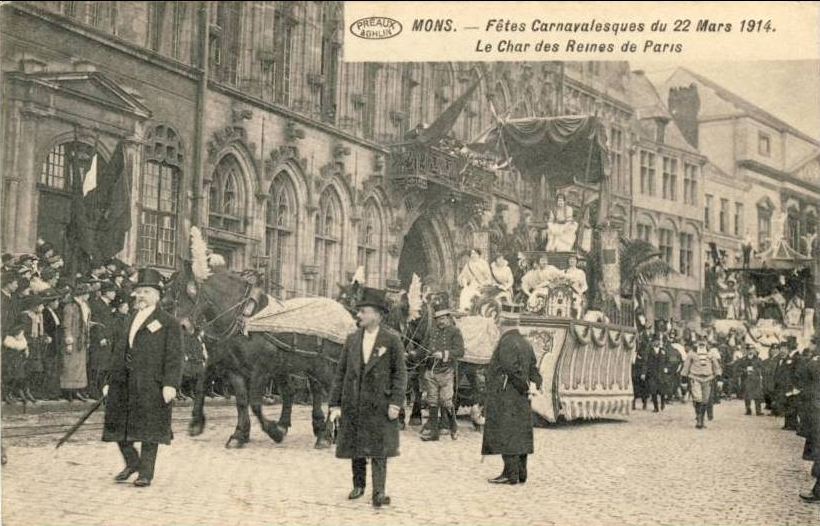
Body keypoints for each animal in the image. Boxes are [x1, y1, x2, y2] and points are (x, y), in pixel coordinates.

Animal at [170, 264, 342, 450]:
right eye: (174, 293)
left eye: (192, 291)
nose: (182, 326)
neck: (244, 318)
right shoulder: (233, 368)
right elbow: (241, 401)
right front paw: (239, 434)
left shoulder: (260, 370)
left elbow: (255, 404)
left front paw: (273, 432)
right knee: (295, 391)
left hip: (323, 367)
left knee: (329, 394)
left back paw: (324, 435)